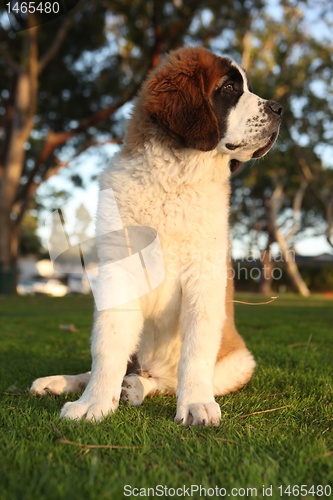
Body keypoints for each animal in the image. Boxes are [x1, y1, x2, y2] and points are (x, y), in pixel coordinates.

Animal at [30, 47, 280, 426]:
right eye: (230, 88)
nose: (280, 109)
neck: (174, 179)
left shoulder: (203, 279)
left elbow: (195, 351)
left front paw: (195, 403)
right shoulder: (119, 275)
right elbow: (107, 345)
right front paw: (94, 403)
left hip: (238, 363)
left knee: (164, 380)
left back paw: (136, 387)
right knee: (120, 363)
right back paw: (65, 382)